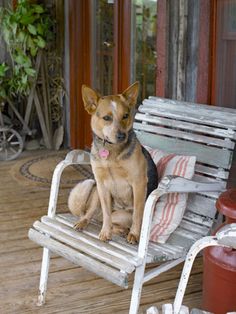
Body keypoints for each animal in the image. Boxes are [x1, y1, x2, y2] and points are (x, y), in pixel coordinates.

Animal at [68, 82, 158, 244]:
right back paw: (85, 222)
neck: (111, 151)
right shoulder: (101, 183)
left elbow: (138, 214)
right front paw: (105, 232)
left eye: (125, 116)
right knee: (93, 214)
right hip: (96, 192)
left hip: (124, 214)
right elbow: (106, 213)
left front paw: (135, 234)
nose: (122, 136)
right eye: (107, 118)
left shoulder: (139, 183)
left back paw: (125, 231)